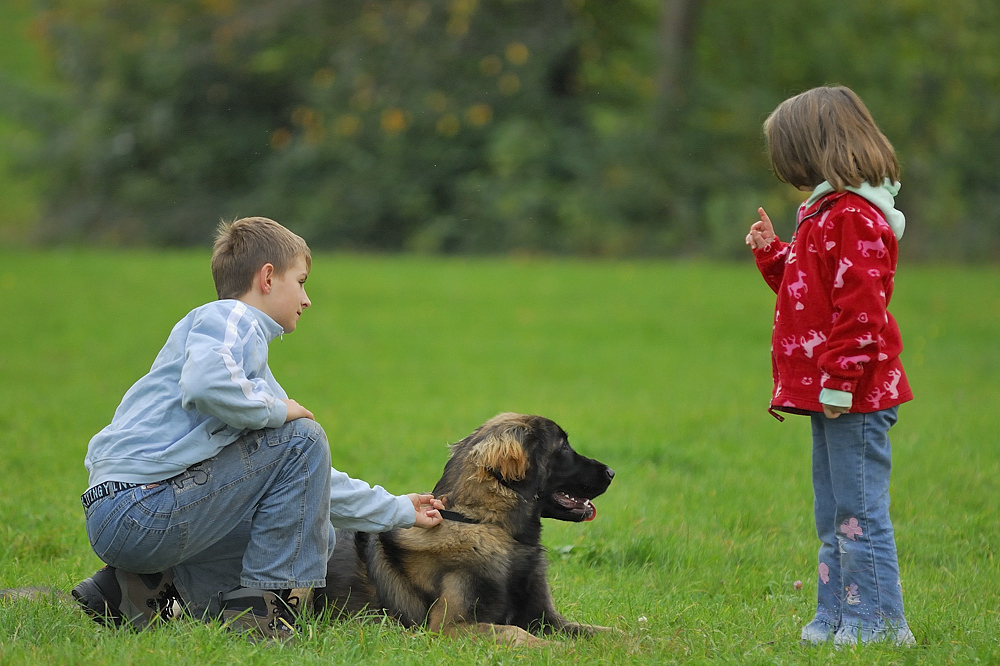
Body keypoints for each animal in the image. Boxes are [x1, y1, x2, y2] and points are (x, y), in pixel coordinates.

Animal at [312, 410, 612, 644]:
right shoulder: (448, 628)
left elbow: (602, 631)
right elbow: (515, 632)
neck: (489, 525)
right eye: (563, 448)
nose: (612, 473)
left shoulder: (546, 618)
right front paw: (562, 650)